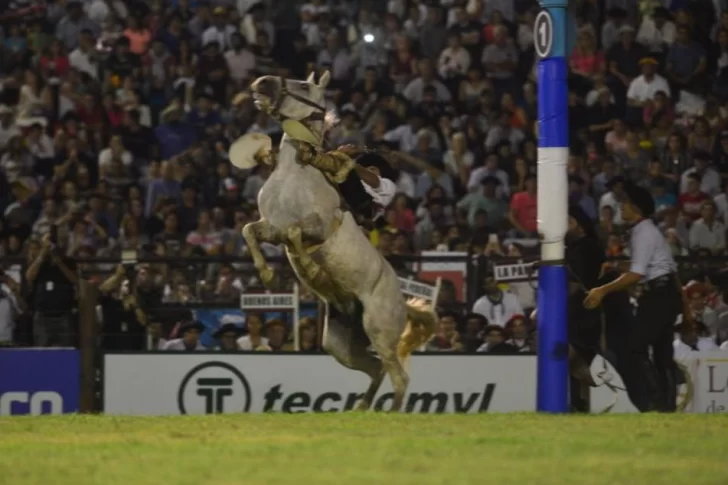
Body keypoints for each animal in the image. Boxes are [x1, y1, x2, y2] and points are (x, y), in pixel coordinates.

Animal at [236, 72, 436, 410]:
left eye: (303, 85)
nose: (261, 82)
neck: (294, 175)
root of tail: (402, 304)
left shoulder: (315, 229)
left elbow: (296, 234)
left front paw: (308, 267)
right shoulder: (271, 227)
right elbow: (249, 230)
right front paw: (267, 274)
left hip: (380, 331)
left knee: (399, 377)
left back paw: (392, 413)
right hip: (340, 345)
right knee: (377, 369)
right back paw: (361, 408)